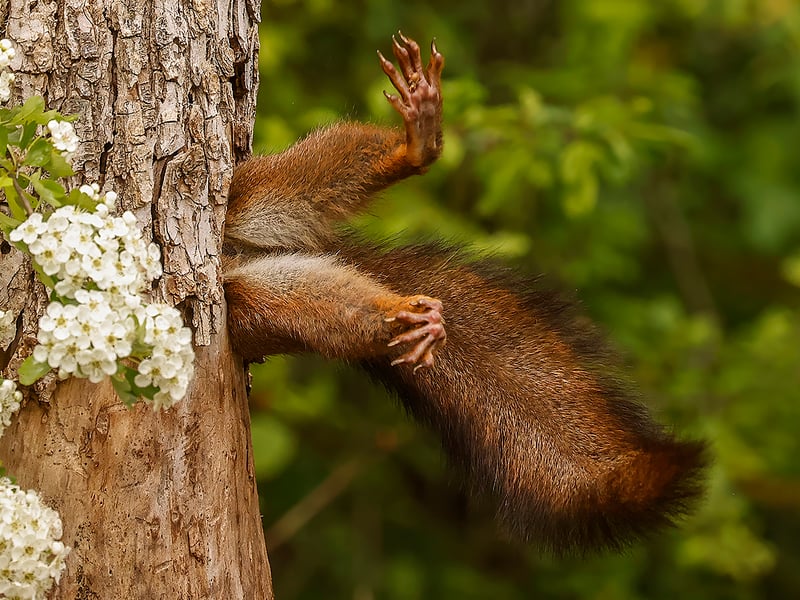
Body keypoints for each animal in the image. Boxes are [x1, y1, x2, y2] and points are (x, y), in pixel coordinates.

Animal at [222, 33, 707, 554]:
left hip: (247, 195)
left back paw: (415, 146)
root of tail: (236, 256)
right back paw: (406, 316)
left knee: (300, 179)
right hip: (251, 303)